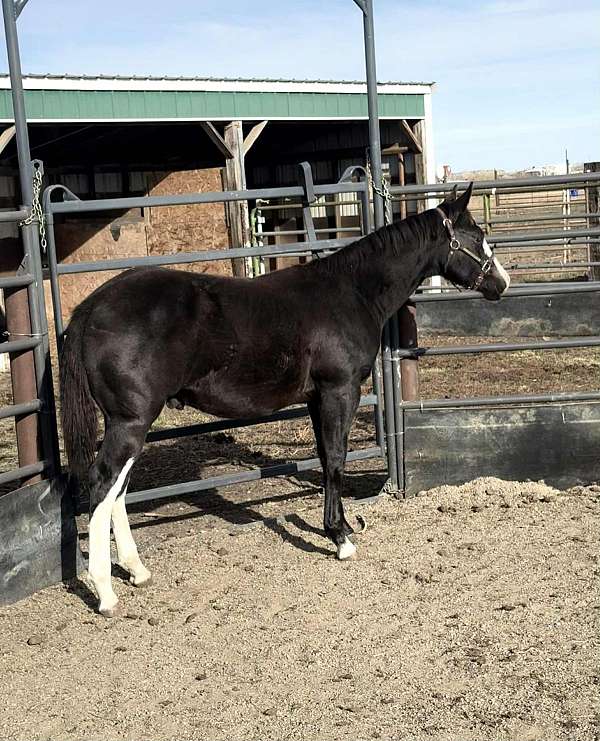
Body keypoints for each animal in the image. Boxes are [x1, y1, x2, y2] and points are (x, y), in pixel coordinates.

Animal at [60, 183, 510, 616]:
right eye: (477, 236)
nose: (501, 283)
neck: (351, 293)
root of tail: (91, 307)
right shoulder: (339, 391)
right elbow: (336, 460)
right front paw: (341, 538)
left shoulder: (315, 399)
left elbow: (326, 457)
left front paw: (340, 527)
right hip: (130, 422)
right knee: (103, 484)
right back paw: (106, 593)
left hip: (131, 424)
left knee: (118, 490)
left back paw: (137, 571)